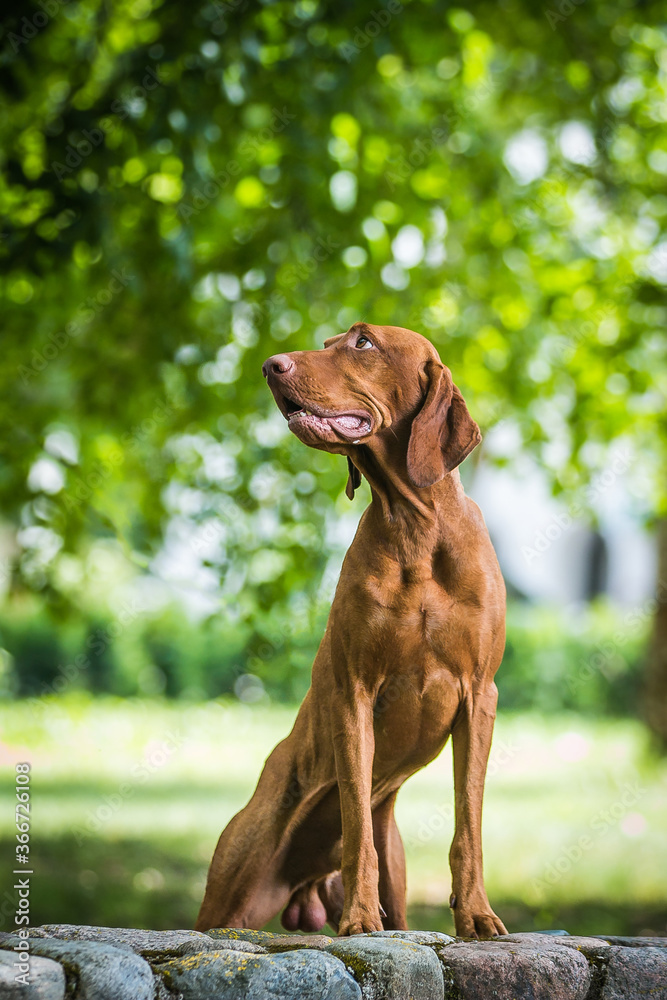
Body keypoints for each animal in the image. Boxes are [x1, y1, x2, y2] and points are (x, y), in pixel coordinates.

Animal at [196, 326, 508, 936]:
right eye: (326, 342)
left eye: (363, 343)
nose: (270, 365)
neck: (416, 529)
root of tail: (309, 880)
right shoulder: (353, 691)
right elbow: (357, 823)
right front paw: (362, 918)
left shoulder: (479, 696)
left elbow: (469, 824)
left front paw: (477, 914)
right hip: (232, 888)